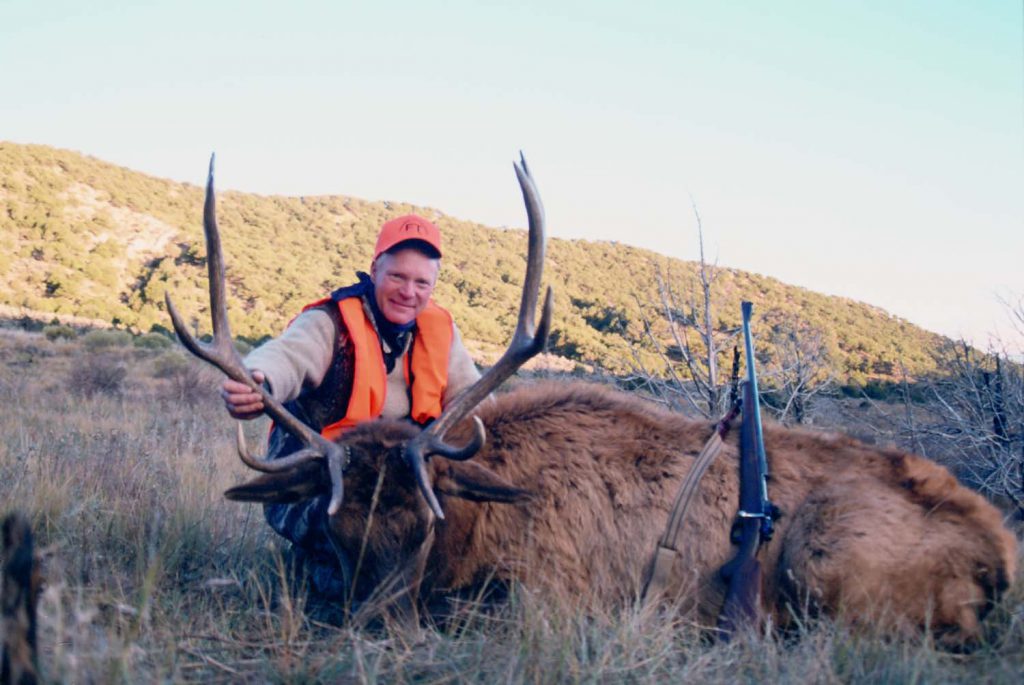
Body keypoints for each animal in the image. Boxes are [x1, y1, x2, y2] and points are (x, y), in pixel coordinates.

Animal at [167, 156, 1015, 647]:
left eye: (424, 527)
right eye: (336, 528)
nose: (377, 629)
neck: (483, 520)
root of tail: (1003, 556)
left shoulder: (561, 593)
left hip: (824, 556)